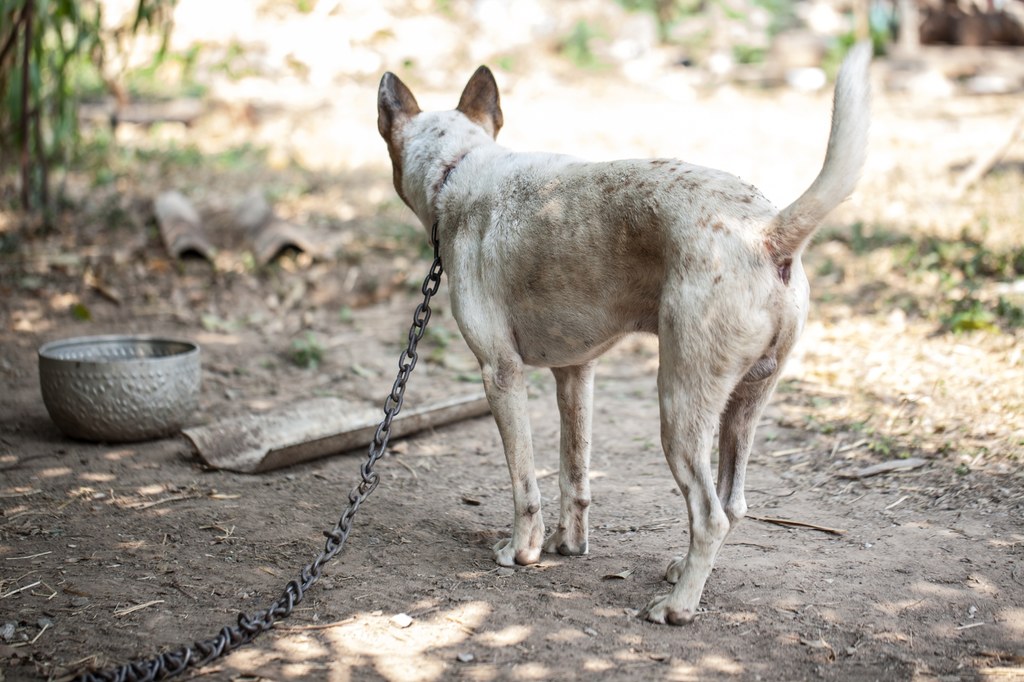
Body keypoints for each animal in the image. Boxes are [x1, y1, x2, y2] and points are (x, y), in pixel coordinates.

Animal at [378, 43, 872, 622]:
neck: (459, 169)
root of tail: (766, 233)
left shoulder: (501, 374)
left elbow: (525, 484)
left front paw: (521, 552)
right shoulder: (576, 372)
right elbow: (573, 474)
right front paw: (569, 546)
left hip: (678, 408)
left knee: (710, 516)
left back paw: (677, 606)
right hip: (743, 406)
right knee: (732, 503)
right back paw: (684, 571)